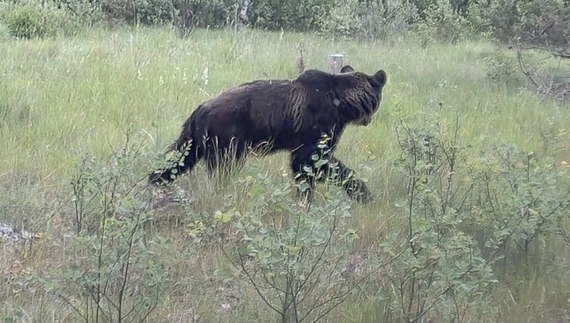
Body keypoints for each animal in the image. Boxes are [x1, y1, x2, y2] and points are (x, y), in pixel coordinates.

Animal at [148, 64, 386, 204]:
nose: (369, 120)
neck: (341, 103)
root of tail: (200, 110)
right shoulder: (317, 126)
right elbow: (312, 161)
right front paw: (361, 192)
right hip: (227, 138)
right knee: (222, 167)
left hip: (195, 140)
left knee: (176, 161)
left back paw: (154, 182)